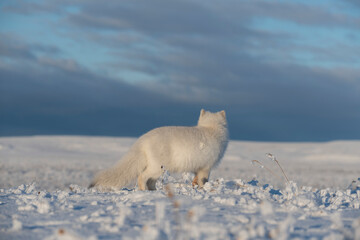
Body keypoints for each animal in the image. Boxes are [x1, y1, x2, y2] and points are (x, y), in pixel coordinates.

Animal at [91, 109, 229, 191]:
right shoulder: (206, 167)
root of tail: (143, 139)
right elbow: (203, 180)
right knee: (142, 176)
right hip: (158, 167)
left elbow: (195, 180)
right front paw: (204, 189)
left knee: (150, 181)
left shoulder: (198, 167)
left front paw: (195, 187)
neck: (211, 128)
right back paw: (144, 190)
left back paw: (154, 191)